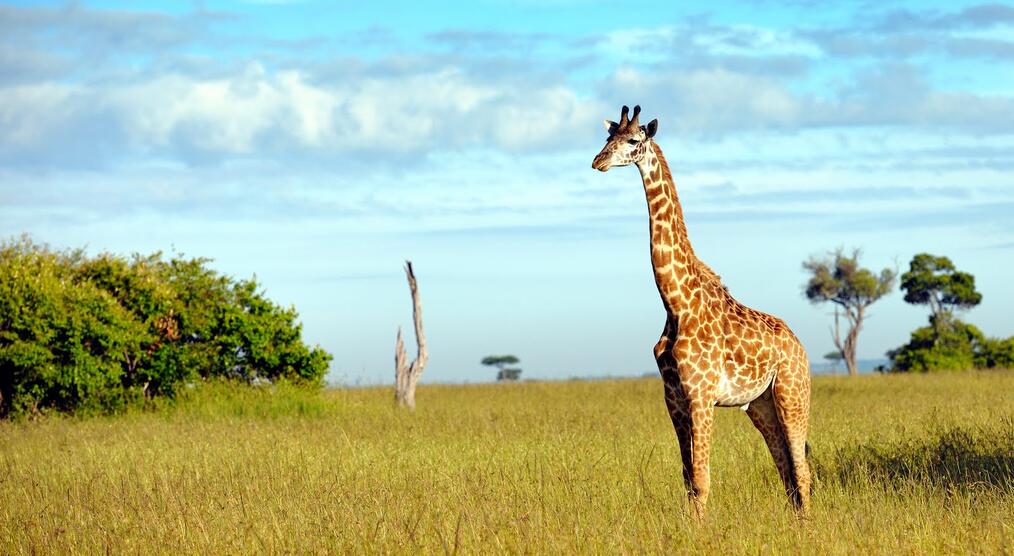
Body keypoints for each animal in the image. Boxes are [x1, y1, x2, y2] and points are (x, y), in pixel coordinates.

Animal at [592, 105, 812, 518]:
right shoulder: (674, 399)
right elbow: (688, 478)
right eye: (607, 138)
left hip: (793, 393)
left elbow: (702, 477)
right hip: (760, 405)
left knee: (801, 469)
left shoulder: (701, 395)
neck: (676, 302)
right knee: (786, 471)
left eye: (633, 140)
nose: (598, 161)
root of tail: (799, 345)